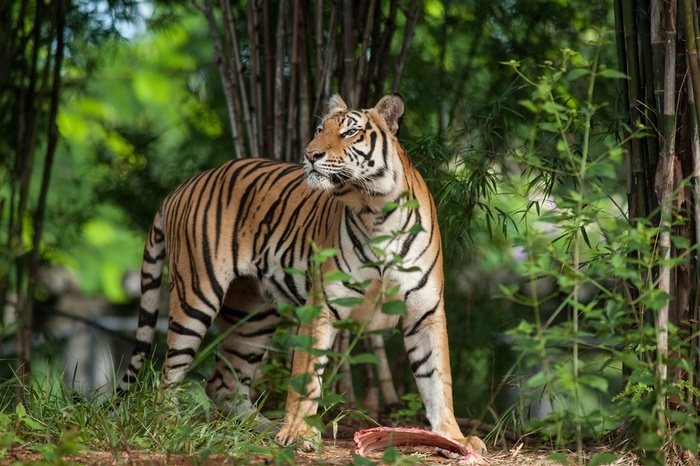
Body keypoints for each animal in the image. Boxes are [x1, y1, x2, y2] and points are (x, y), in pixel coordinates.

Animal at [117, 94, 484, 456]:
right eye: (320, 129)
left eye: (350, 132)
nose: (310, 154)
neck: (377, 209)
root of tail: (183, 186)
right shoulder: (322, 308)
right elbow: (306, 378)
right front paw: (297, 434)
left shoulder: (426, 312)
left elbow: (438, 379)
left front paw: (454, 437)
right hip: (196, 296)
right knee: (169, 373)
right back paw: (170, 423)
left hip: (253, 316)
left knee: (224, 383)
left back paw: (259, 427)